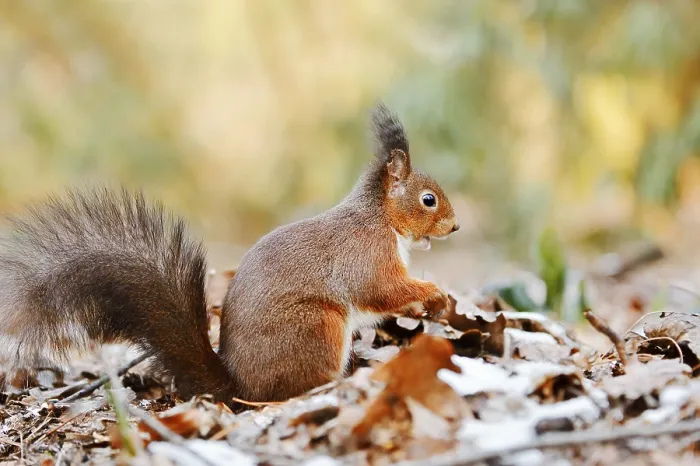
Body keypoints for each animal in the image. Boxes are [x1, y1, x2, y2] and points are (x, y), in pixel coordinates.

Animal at [0, 103, 459, 405]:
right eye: (429, 199)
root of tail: (240, 388)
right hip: (317, 326)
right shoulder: (365, 253)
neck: (380, 217)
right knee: (297, 388)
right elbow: (379, 288)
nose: (455, 227)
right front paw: (434, 293)